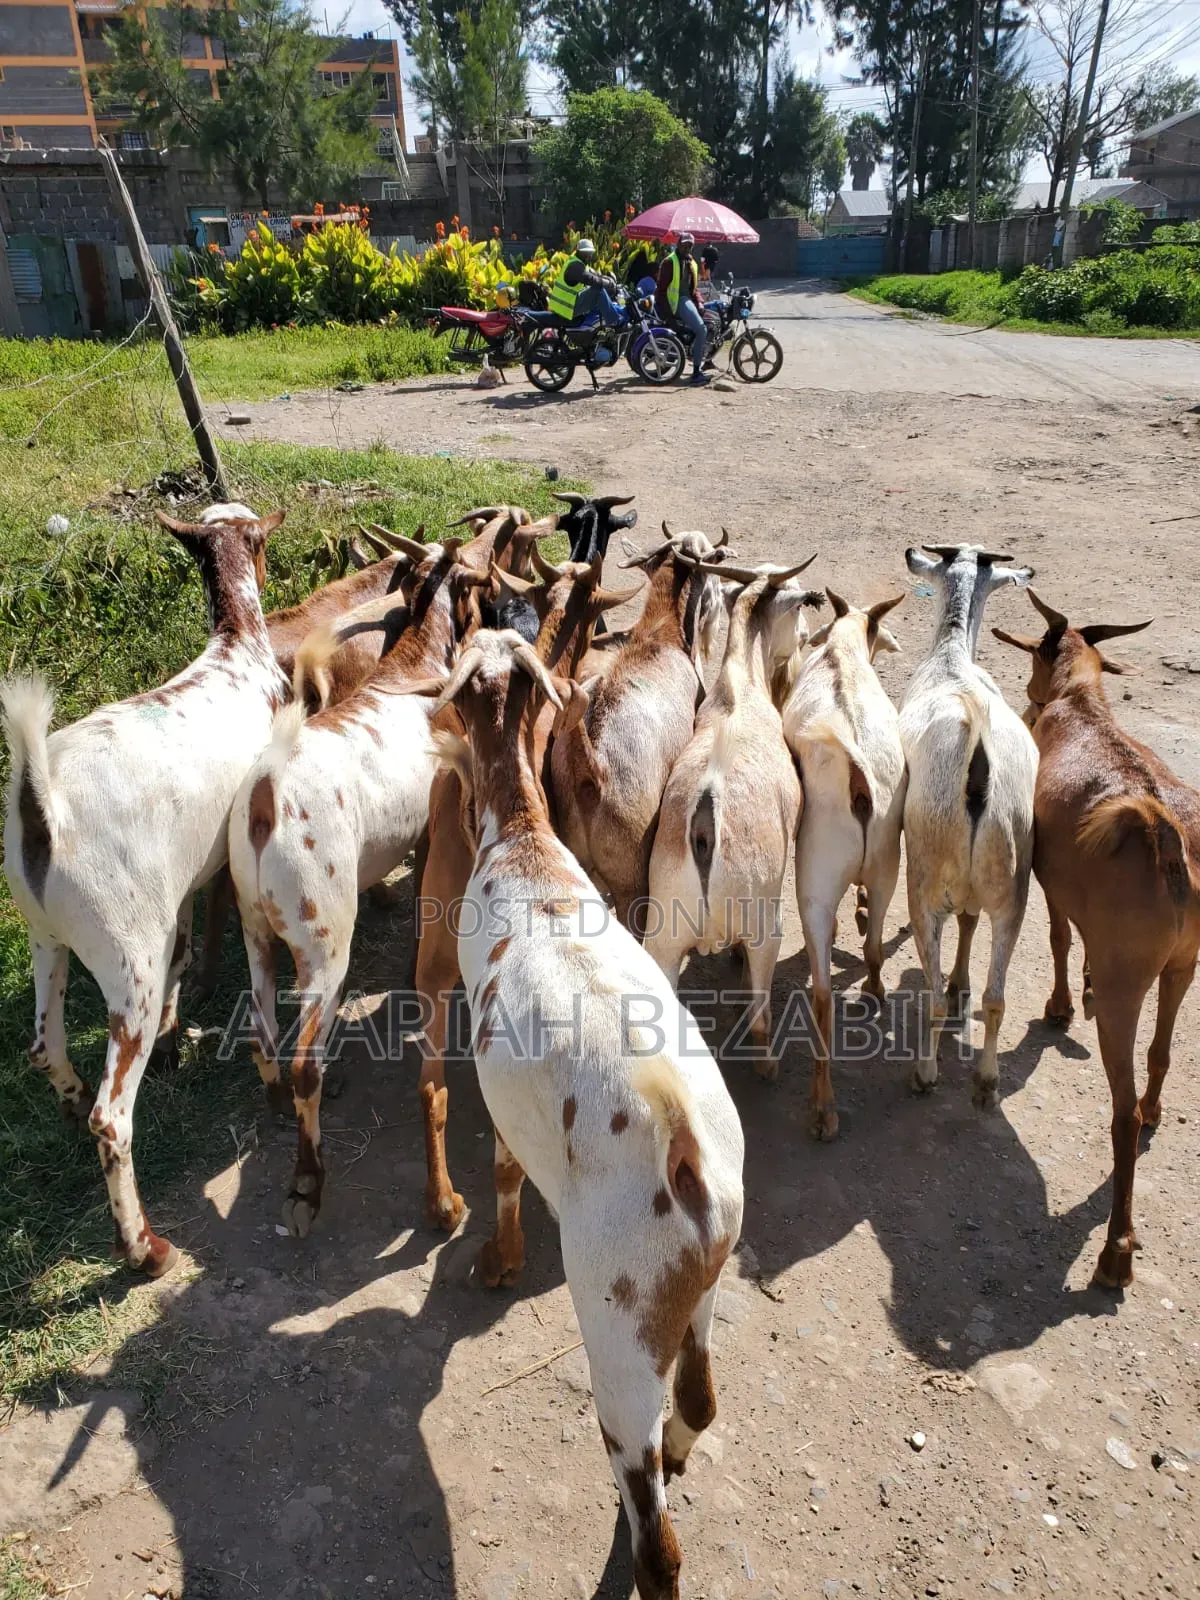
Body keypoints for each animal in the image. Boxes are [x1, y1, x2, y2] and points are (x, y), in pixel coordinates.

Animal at [1, 504, 288, 1276]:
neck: (235, 648)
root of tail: (45, 809)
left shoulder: (180, 880)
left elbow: (186, 945)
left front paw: (174, 1035)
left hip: (48, 929)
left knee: (44, 1045)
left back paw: (71, 1104)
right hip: (126, 951)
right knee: (114, 1116)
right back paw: (143, 1248)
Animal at [228, 538, 489, 1236]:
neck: (409, 670)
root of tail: (265, 798)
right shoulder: (433, 829)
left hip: (255, 922)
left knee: (262, 1022)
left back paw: (271, 1098)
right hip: (323, 940)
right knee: (304, 1063)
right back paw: (307, 1182)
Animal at [411, 627, 743, 1600]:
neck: (523, 844)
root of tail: (687, 1156)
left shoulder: (499, 1092)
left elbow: (502, 1169)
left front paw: (498, 1259)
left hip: (618, 1323)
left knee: (655, 1539)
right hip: (698, 1288)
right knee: (701, 1398)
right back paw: (681, 1449)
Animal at [645, 562, 823, 1080]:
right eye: (799, 603)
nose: (806, 638)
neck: (738, 689)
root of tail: (705, 821)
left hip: (663, 936)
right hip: (765, 921)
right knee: (760, 1012)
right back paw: (768, 1066)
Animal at [994, 590, 1198, 1288]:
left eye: (1035, 653)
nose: (1028, 697)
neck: (1080, 707)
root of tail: (1163, 832)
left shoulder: (1047, 877)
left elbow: (1059, 937)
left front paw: (1060, 1004)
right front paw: (1073, 993)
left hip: (1126, 986)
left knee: (1122, 1109)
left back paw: (1115, 1252)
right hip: (1182, 962)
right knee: (1160, 1055)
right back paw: (1158, 1112)